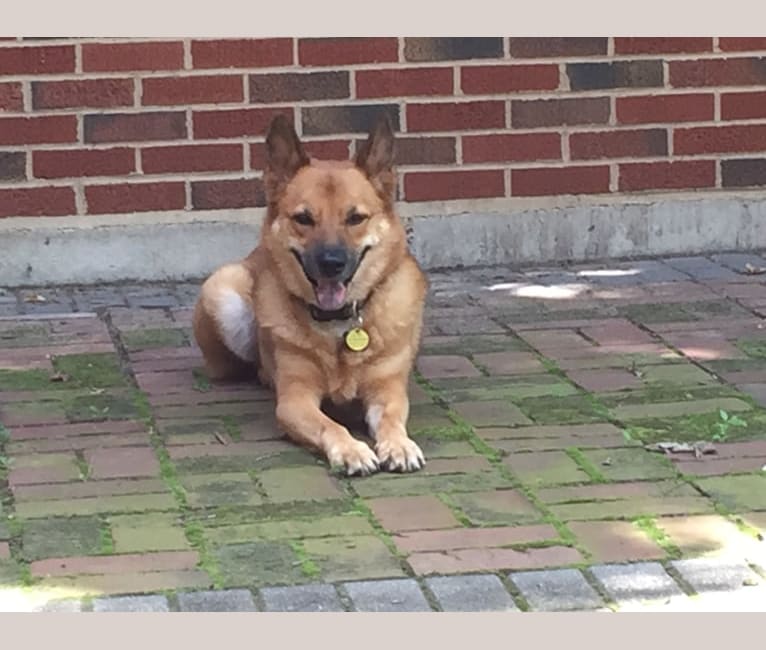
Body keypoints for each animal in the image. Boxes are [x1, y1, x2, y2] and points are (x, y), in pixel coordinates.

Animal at [194, 114, 432, 474]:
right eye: (304, 218)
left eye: (356, 218)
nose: (331, 263)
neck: (338, 326)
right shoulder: (295, 401)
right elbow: (330, 425)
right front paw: (351, 450)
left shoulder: (388, 391)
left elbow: (391, 419)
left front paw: (399, 444)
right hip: (223, 290)